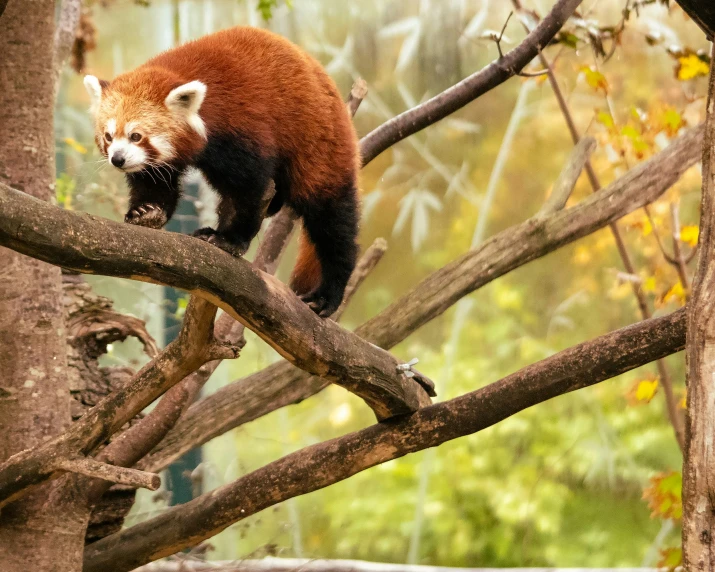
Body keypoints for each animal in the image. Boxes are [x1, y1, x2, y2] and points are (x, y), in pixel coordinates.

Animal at [84, 26, 360, 318]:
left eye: (136, 136)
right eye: (109, 136)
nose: (118, 159)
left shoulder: (242, 128)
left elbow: (247, 190)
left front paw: (230, 239)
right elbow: (155, 182)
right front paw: (146, 211)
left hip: (319, 142)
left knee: (331, 220)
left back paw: (327, 295)